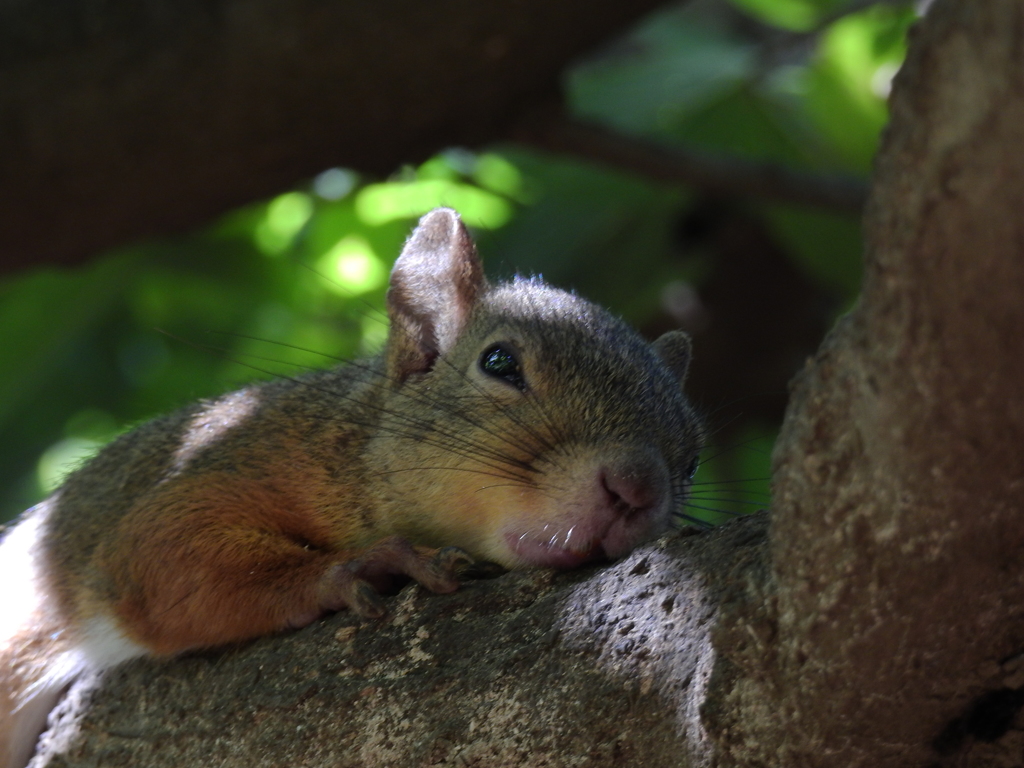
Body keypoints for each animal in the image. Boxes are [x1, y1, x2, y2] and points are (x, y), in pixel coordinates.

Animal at [0, 207, 704, 765]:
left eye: (692, 456)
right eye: (499, 362)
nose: (638, 487)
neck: (355, 448)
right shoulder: (240, 454)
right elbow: (158, 557)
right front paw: (370, 563)